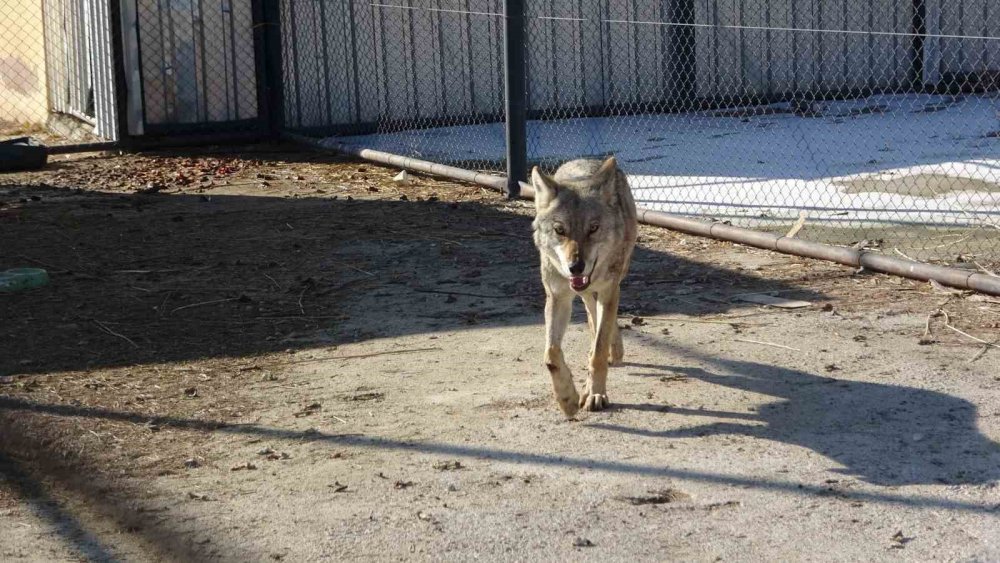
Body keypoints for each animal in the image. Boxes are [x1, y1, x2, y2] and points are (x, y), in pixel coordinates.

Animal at [524, 156, 640, 416]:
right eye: (560, 230)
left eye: (593, 228)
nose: (576, 267)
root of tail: (585, 159)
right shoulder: (557, 297)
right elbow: (551, 354)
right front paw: (567, 399)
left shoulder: (608, 291)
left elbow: (598, 351)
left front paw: (595, 393)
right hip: (585, 292)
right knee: (592, 313)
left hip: (617, 278)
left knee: (603, 324)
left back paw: (613, 351)